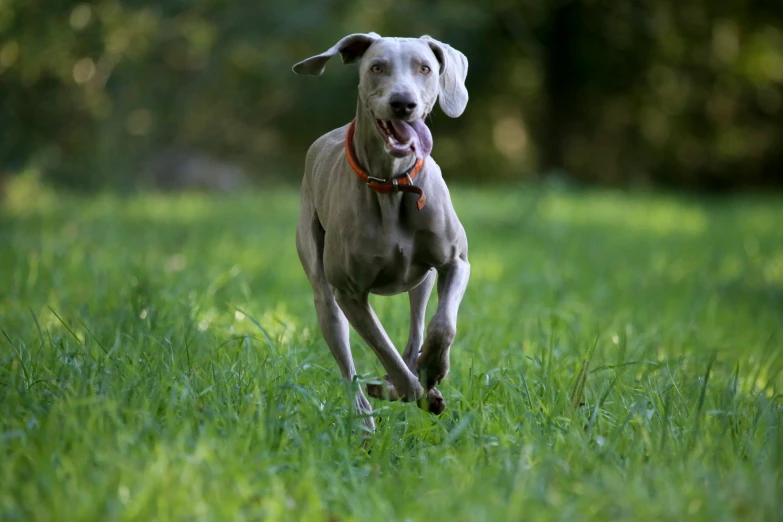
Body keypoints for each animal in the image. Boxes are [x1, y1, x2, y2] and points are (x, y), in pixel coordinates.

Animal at [290, 33, 468, 430]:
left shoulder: (455, 262)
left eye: (425, 68)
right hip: (324, 292)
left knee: (417, 328)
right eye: (377, 67)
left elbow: (442, 325)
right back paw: (368, 418)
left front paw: (433, 368)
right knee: (347, 363)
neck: (393, 183)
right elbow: (385, 351)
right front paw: (407, 390)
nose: (403, 103)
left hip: (421, 280)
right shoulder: (349, 293)